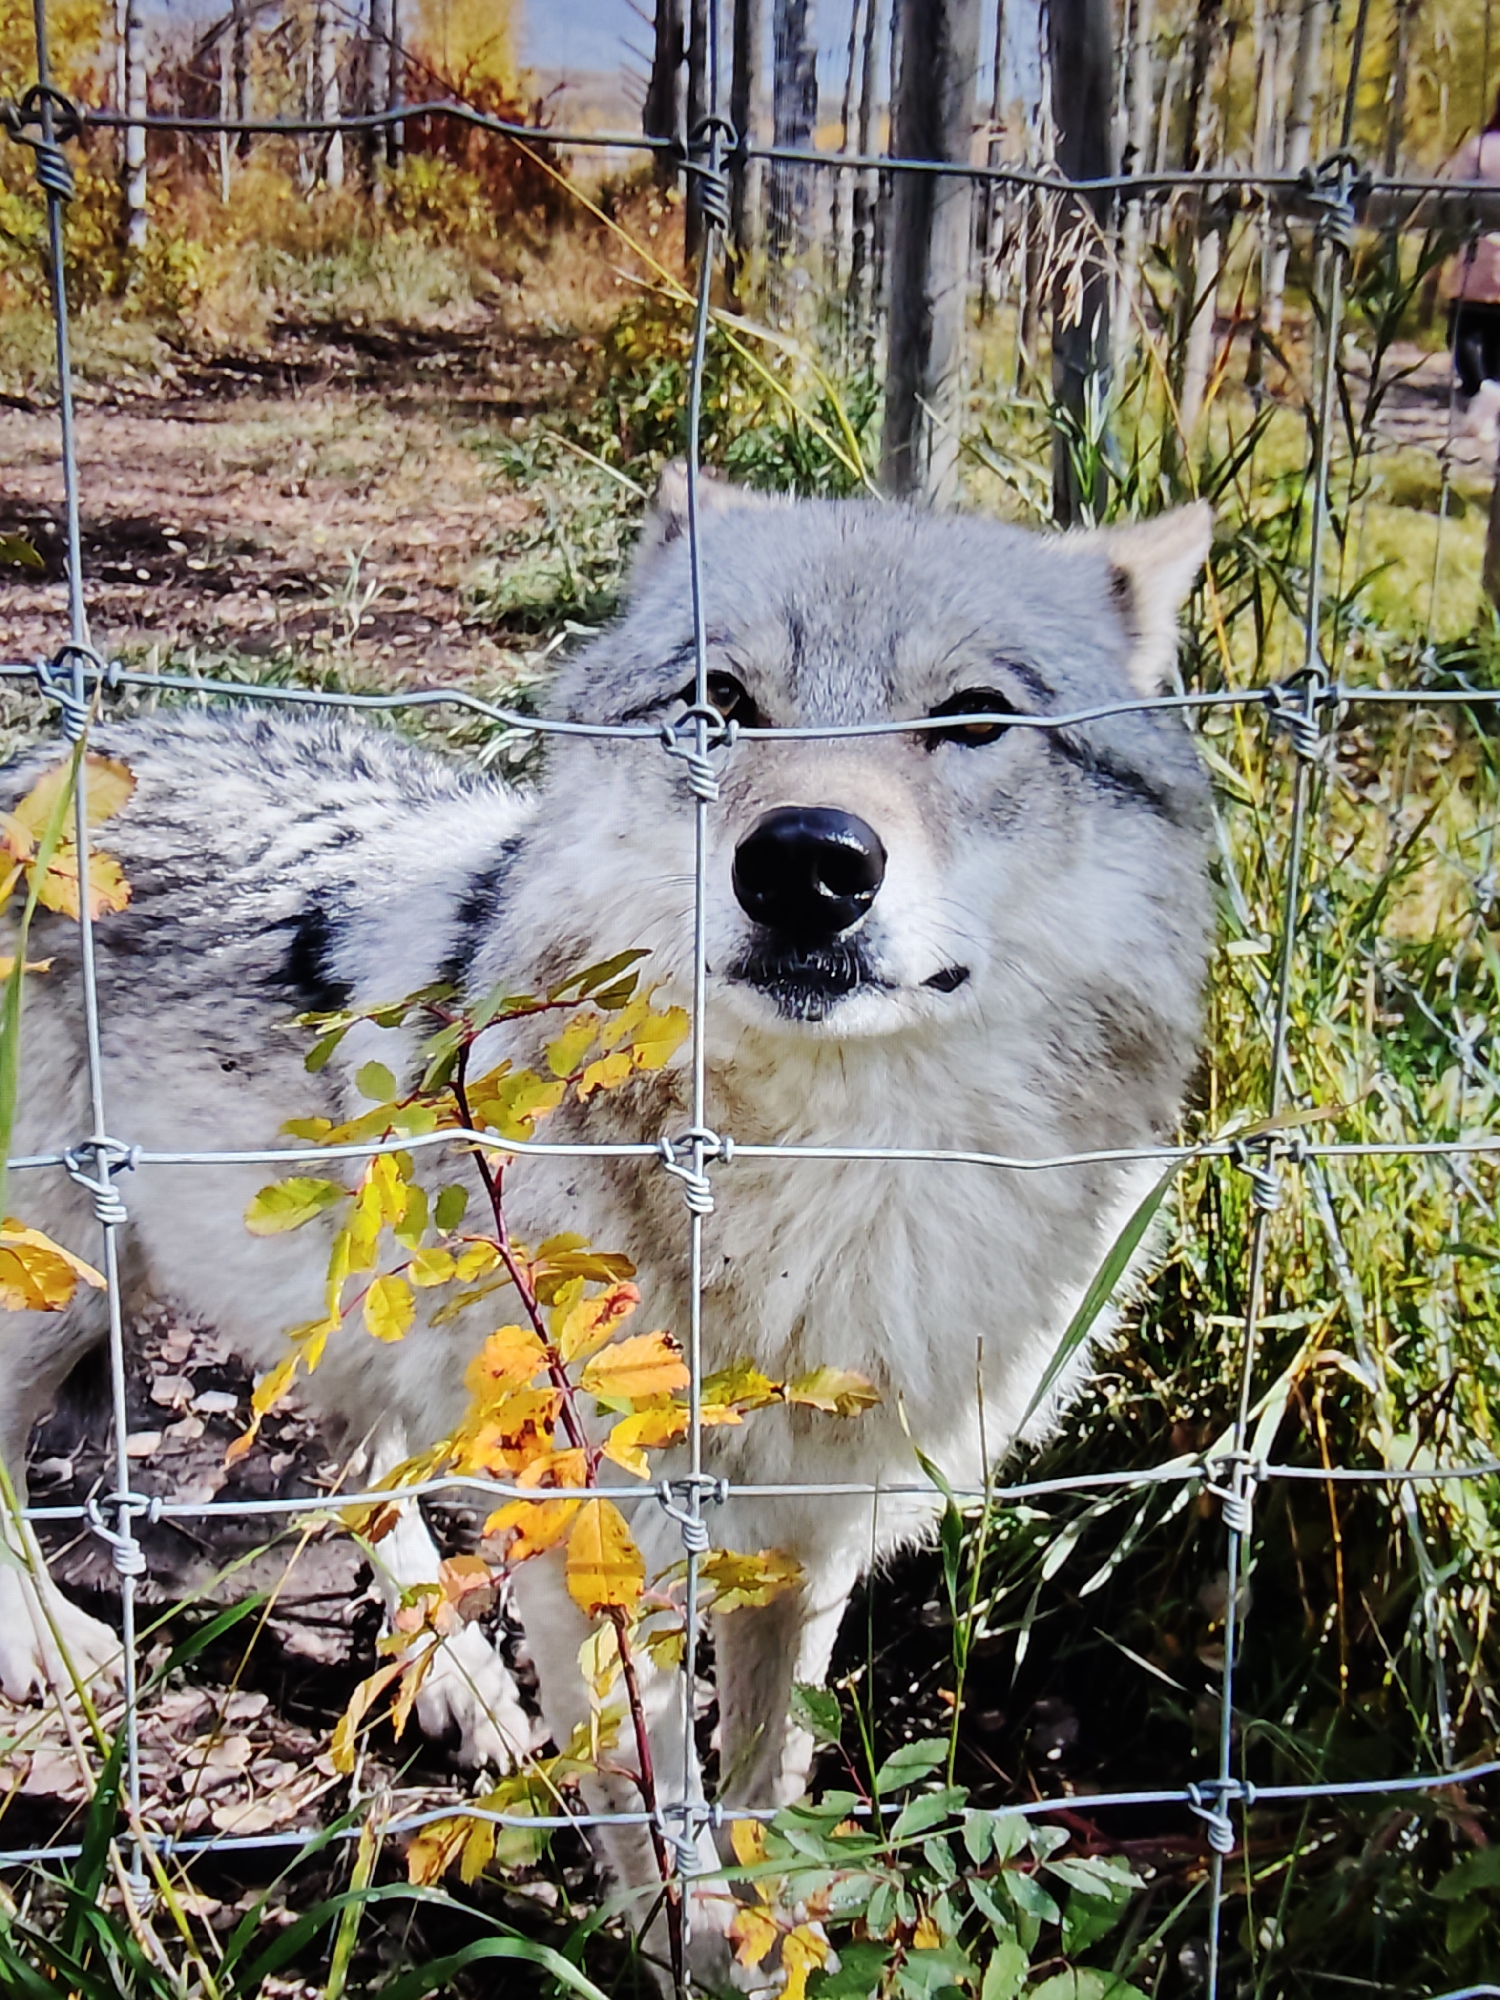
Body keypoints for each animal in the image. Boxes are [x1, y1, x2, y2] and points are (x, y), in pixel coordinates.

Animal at [0, 475, 1212, 1972]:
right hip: (67, 1279)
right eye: (719, 703)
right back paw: (58, 1648)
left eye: (975, 715)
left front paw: (775, 1924)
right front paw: (690, 1947)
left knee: (360, 1463)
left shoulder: (808, 1536)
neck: (823, 1185)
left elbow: (768, 1776)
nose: (807, 863)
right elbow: (652, 1792)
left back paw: (458, 1682)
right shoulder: (594, 1541)